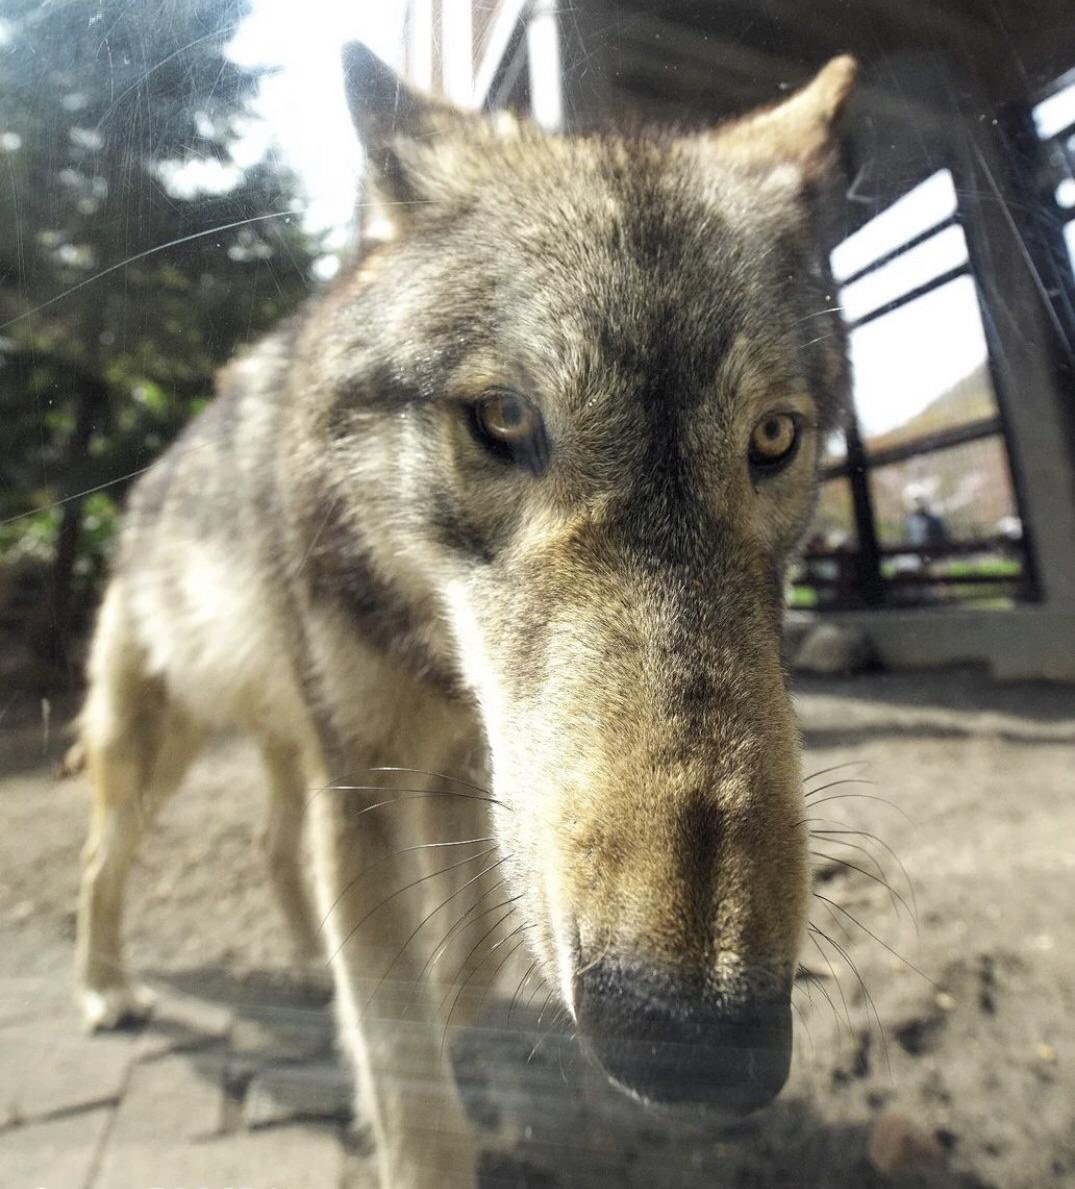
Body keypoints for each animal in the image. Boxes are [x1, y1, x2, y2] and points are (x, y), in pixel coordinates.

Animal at [74, 43, 857, 1188]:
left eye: (773, 437)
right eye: (501, 418)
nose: (702, 1042)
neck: (429, 653)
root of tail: (141, 490)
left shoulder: (468, 771)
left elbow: (473, 954)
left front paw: (411, 1041)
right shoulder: (366, 787)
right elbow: (403, 1047)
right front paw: (399, 1112)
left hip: (284, 747)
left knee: (271, 845)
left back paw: (305, 972)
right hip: (159, 752)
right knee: (105, 860)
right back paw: (103, 989)